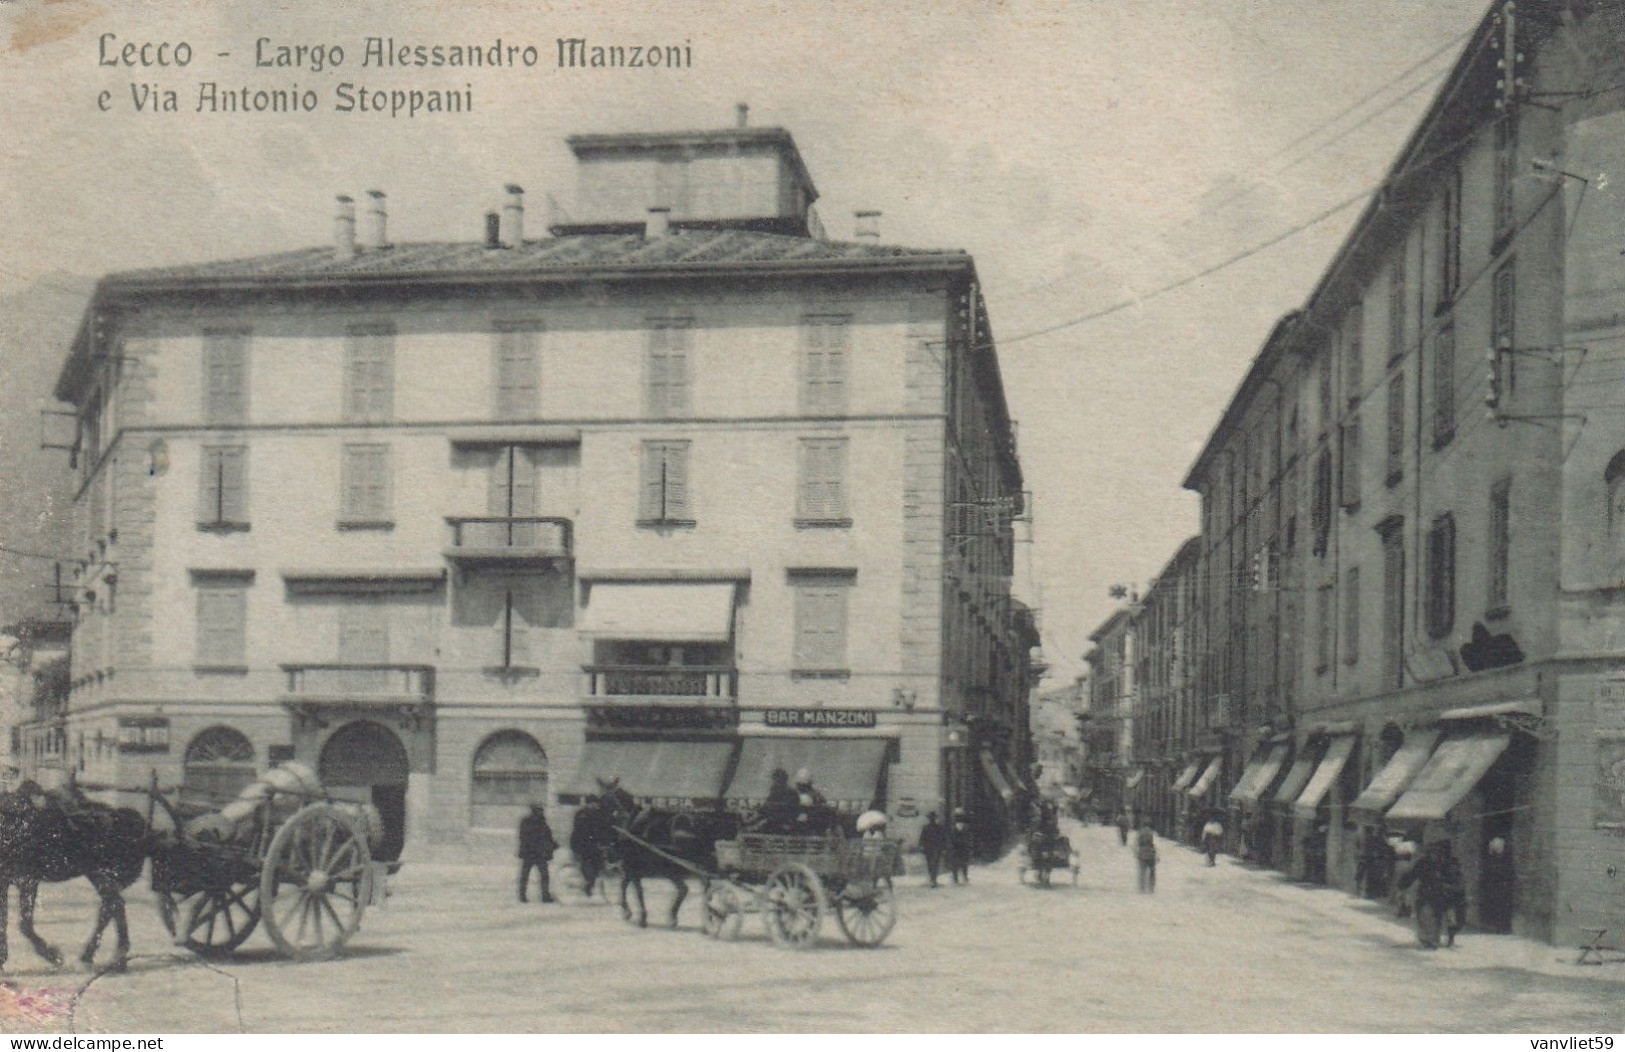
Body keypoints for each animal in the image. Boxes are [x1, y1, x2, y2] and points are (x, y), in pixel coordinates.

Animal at [0, 786, 151, 975]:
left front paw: (54, 956)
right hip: (97, 875)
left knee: (113, 905)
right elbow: (5, 920)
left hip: (100, 874)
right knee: (113, 906)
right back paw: (111, 959)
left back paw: (104, 957)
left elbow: (24, 924)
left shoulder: (28, 880)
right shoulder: (5, 882)